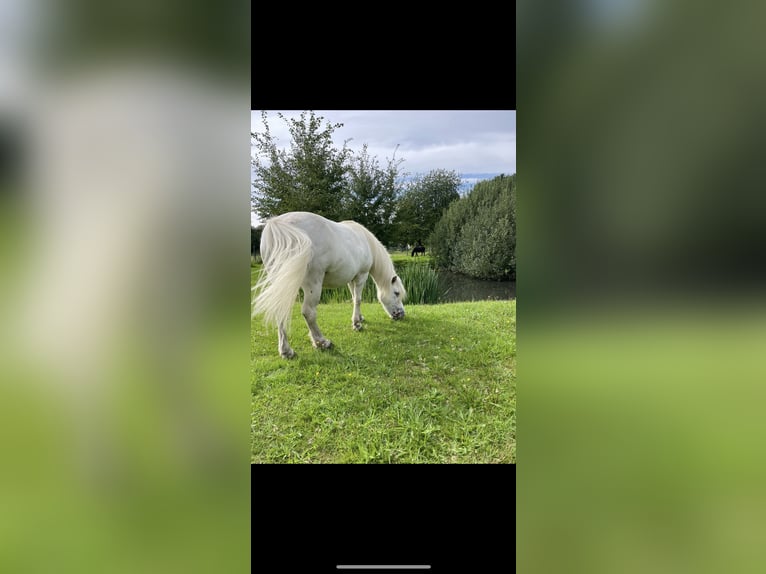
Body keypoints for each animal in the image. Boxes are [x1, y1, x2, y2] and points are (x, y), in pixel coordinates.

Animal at [252, 211, 407, 359]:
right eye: (397, 293)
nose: (401, 314)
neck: (365, 241)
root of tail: (279, 224)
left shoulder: (351, 279)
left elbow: (354, 299)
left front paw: (359, 318)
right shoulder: (361, 276)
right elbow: (358, 299)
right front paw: (356, 324)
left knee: (281, 311)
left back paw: (286, 351)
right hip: (313, 283)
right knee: (308, 312)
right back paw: (321, 342)